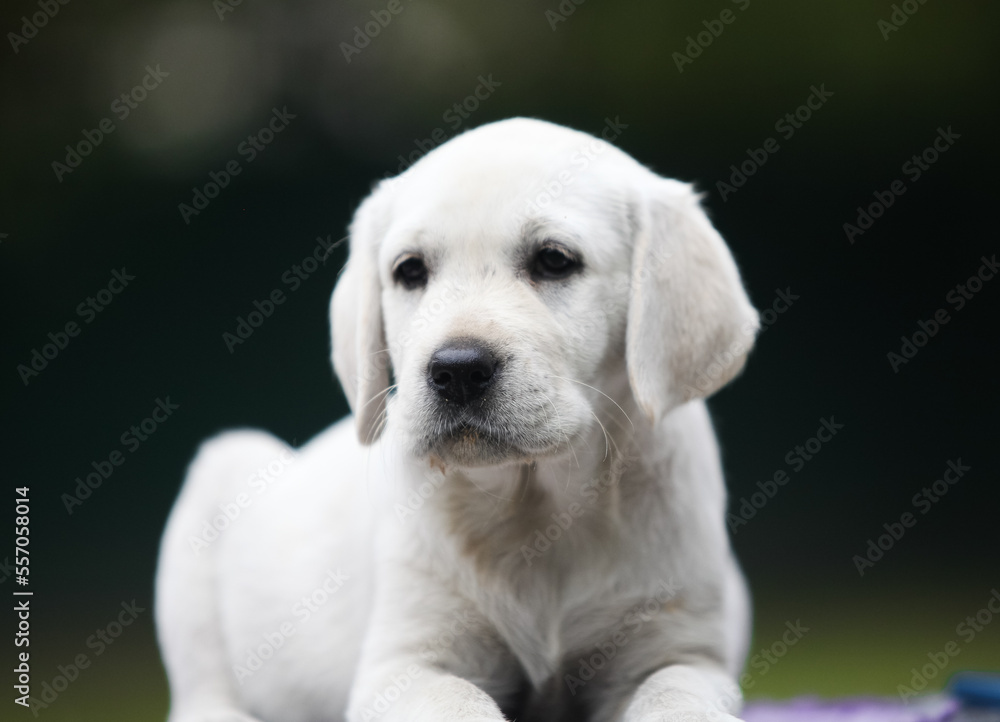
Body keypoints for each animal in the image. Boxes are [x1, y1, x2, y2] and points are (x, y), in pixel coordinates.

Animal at [154, 118, 756, 720]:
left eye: (554, 260)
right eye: (410, 271)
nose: (458, 370)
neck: (535, 508)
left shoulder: (679, 650)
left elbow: (676, 696)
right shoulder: (405, 663)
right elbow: (461, 702)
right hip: (213, 496)